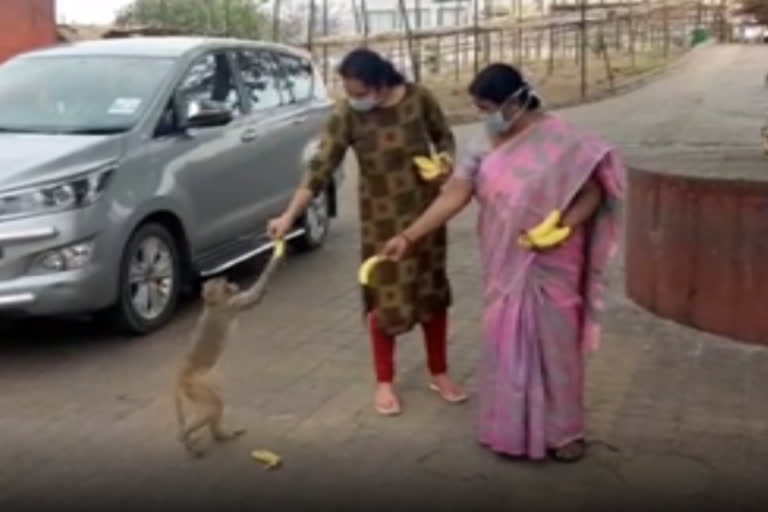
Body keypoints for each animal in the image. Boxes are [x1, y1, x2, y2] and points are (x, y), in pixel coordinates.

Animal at [172, 242, 286, 458]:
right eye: (221, 281)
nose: (228, 279)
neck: (214, 302)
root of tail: (181, 372)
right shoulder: (232, 305)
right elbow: (252, 297)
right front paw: (277, 254)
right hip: (196, 384)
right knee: (213, 406)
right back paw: (186, 434)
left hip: (204, 381)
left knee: (217, 403)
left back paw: (220, 435)